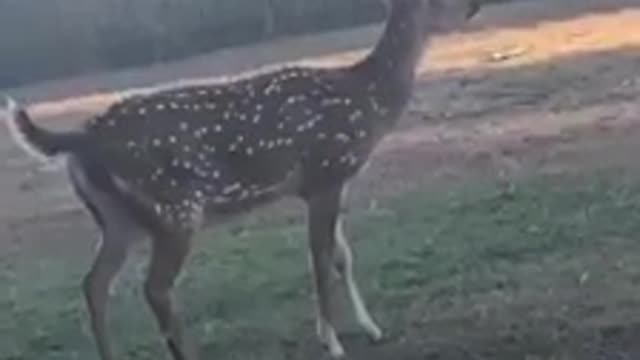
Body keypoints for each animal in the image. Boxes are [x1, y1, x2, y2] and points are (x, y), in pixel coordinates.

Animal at [1, 1, 480, 358]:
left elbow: (343, 255)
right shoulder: (325, 171)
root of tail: (81, 138)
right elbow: (321, 257)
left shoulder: (328, 182)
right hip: (174, 209)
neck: (368, 101)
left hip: (119, 218)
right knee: (154, 288)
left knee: (95, 284)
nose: (474, 6)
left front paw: (372, 328)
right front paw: (333, 341)